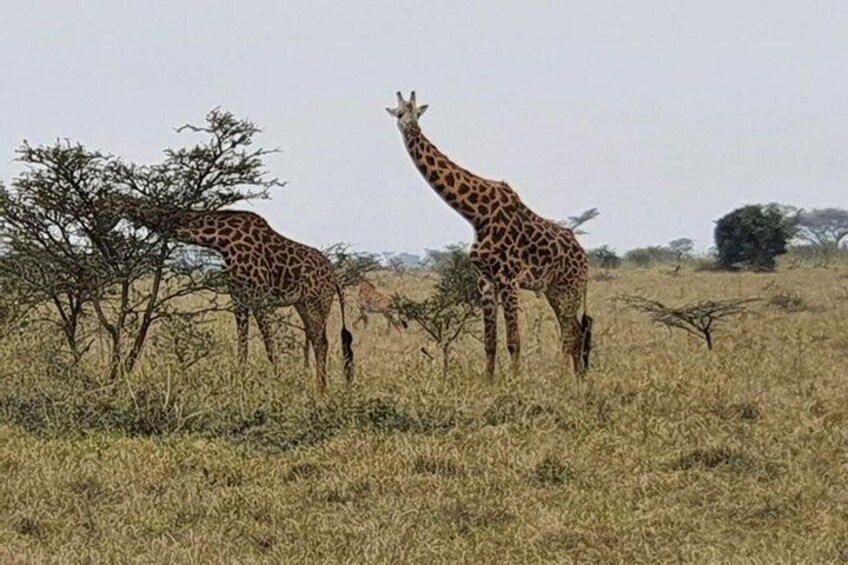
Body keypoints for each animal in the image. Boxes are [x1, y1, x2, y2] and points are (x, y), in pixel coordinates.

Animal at [109, 197, 353, 394]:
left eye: (107, 204)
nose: (106, 227)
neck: (222, 240)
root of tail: (334, 277)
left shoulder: (258, 296)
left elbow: (269, 346)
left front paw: (277, 384)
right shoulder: (238, 298)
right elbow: (242, 347)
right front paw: (240, 386)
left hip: (317, 301)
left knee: (321, 342)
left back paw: (321, 391)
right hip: (302, 304)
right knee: (316, 339)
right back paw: (320, 388)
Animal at [386, 91, 591, 379]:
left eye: (416, 113)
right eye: (400, 113)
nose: (412, 128)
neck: (476, 215)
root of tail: (585, 259)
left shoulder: (508, 278)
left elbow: (514, 341)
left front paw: (515, 382)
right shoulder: (484, 278)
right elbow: (489, 341)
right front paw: (488, 381)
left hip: (570, 288)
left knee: (572, 334)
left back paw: (564, 379)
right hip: (555, 289)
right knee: (573, 332)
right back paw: (578, 380)